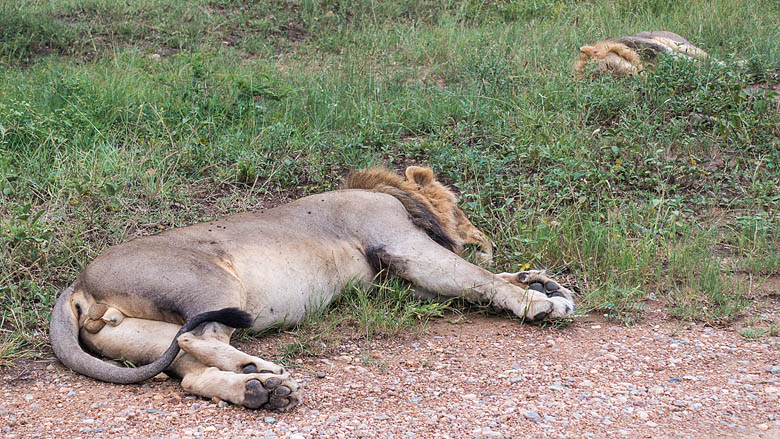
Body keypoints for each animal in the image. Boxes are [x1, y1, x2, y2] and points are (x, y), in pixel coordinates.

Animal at [48, 168, 572, 412]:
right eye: (460, 209)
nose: (488, 241)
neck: (385, 193)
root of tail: (77, 284)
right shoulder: (402, 245)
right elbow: (474, 277)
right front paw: (538, 301)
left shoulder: (401, 279)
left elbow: (477, 282)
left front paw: (537, 280)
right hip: (213, 282)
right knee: (197, 336)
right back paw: (262, 369)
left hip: (138, 337)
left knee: (187, 367)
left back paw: (259, 390)